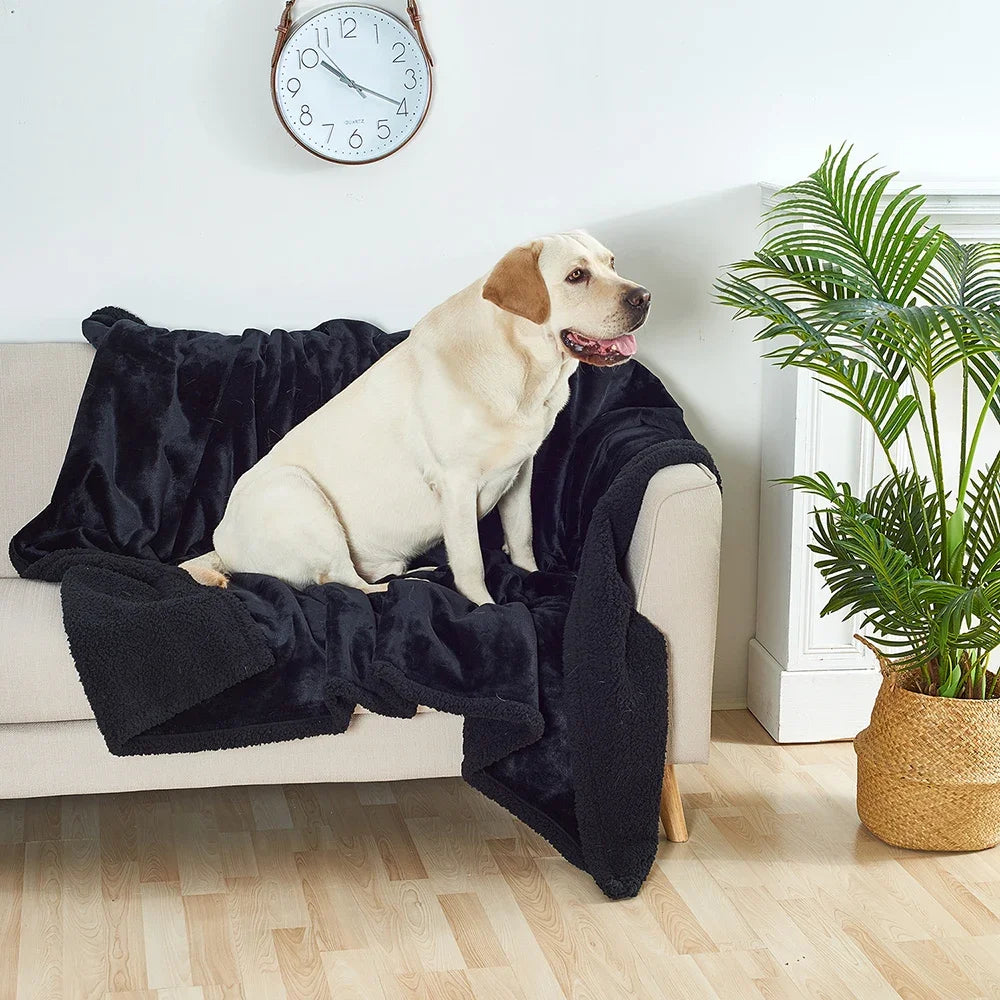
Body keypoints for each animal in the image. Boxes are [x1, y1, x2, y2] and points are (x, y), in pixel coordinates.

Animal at [183, 231, 652, 604]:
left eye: (611, 263)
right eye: (576, 276)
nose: (644, 297)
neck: (521, 371)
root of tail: (221, 545)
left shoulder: (521, 473)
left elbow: (521, 538)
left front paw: (532, 577)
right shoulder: (457, 486)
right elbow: (471, 563)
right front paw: (486, 608)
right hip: (295, 491)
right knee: (344, 583)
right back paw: (415, 583)